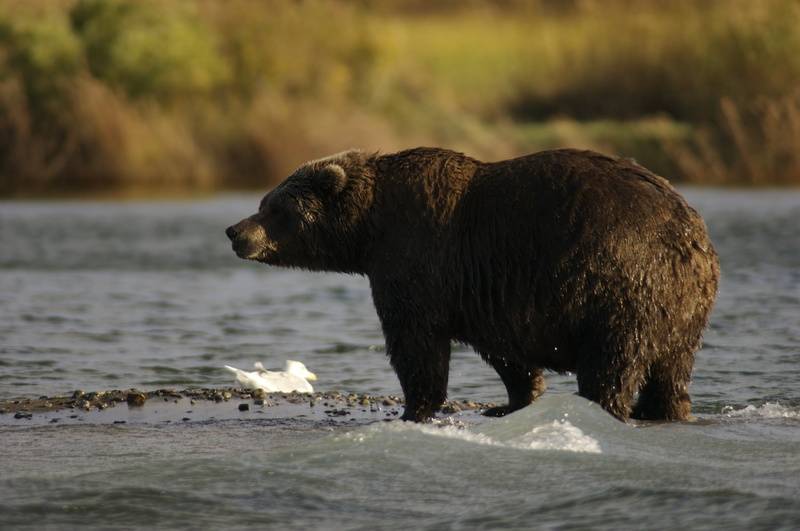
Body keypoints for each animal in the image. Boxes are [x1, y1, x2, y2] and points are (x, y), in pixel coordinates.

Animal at [226, 147, 720, 423]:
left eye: (274, 208)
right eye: (263, 201)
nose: (234, 231)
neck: (369, 227)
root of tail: (690, 233)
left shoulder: (418, 258)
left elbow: (416, 342)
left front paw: (413, 409)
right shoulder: (488, 288)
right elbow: (505, 350)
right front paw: (512, 400)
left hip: (620, 280)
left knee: (612, 361)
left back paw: (605, 405)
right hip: (682, 305)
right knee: (671, 368)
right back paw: (665, 409)